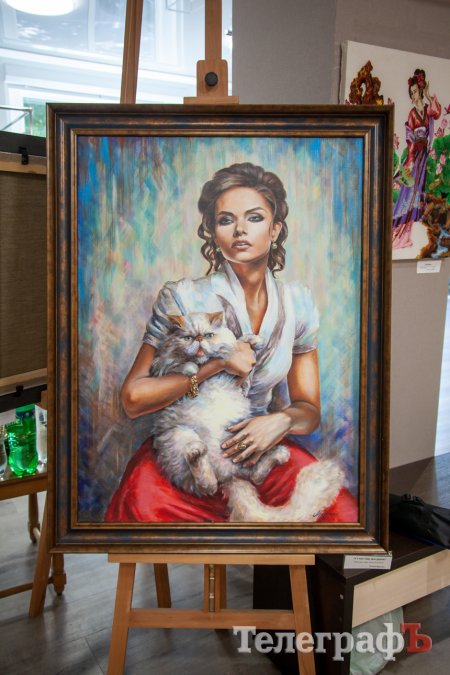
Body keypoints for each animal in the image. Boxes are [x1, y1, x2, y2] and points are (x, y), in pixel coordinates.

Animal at [148, 311, 345, 523]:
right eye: (188, 338)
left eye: (208, 335)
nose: (199, 340)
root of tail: (228, 476)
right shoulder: (160, 366)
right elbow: (177, 364)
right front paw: (191, 368)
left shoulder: (238, 379)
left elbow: (239, 344)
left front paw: (253, 340)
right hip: (179, 437)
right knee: (207, 485)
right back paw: (197, 452)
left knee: (252, 477)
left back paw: (278, 456)